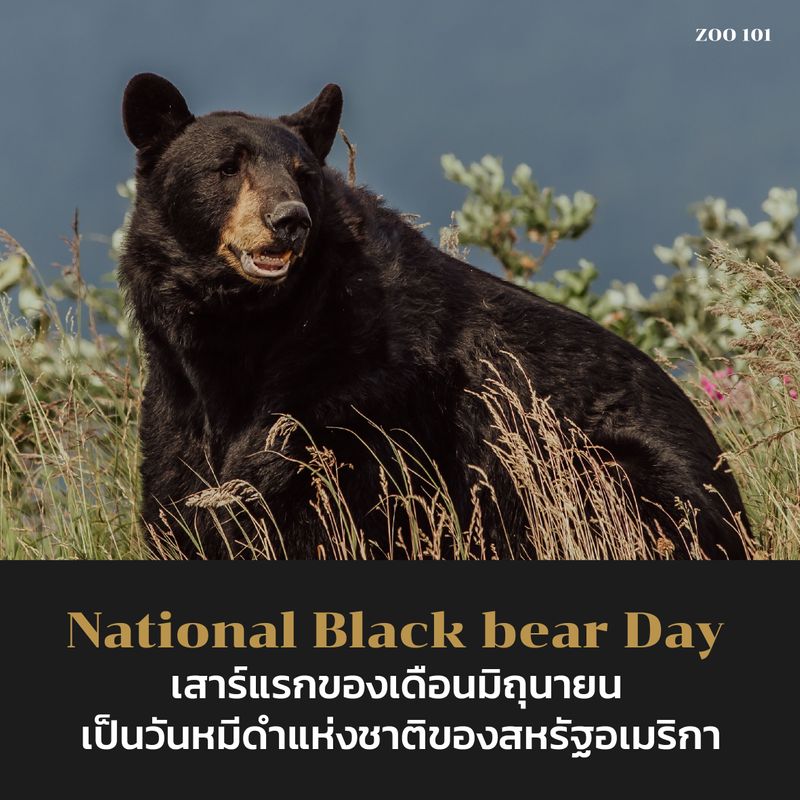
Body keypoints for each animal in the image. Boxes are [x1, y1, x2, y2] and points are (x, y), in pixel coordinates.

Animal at [119, 72, 751, 560]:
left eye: (303, 173)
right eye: (228, 167)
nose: (289, 219)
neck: (248, 332)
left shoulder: (359, 397)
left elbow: (319, 505)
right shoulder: (176, 400)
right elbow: (182, 498)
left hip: (603, 471)